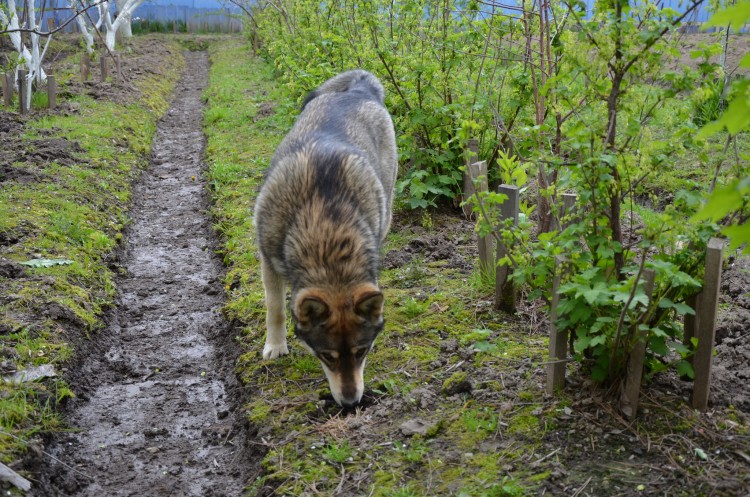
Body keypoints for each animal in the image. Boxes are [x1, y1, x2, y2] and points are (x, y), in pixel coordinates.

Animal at [254, 70, 400, 406]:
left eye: (362, 352)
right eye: (327, 356)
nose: (351, 402)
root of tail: (359, 88)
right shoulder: (268, 260)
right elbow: (275, 309)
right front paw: (276, 346)